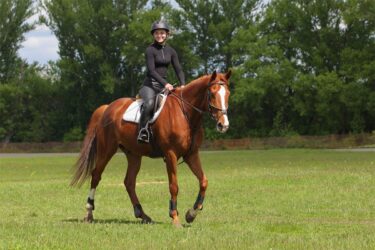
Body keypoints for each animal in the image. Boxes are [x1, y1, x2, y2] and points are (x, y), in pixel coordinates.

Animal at [70, 70, 232, 227]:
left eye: (228, 94)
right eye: (212, 93)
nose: (223, 125)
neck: (184, 112)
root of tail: (107, 108)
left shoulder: (191, 154)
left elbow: (204, 181)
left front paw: (191, 214)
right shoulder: (171, 155)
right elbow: (174, 186)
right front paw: (175, 217)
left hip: (133, 154)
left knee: (129, 182)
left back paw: (142, 215)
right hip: (106, 150)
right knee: (96, 175)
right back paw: (89, 213)